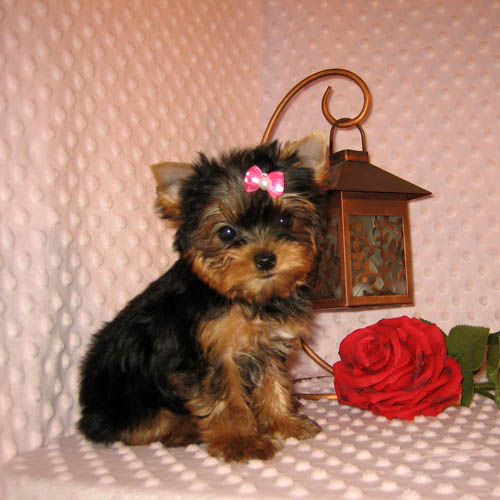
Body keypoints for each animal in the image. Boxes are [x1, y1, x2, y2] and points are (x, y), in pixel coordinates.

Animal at [77, 130, 328, 460]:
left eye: (285, 220)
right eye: (227, 233)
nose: (265, 259)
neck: (243, 297)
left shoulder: (266, 343)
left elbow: (273, 381)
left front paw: (284, 422)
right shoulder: (208, 356)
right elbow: (226, 398)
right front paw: (241, 441)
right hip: (128, 397)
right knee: (142, 425)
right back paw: (185, 429)